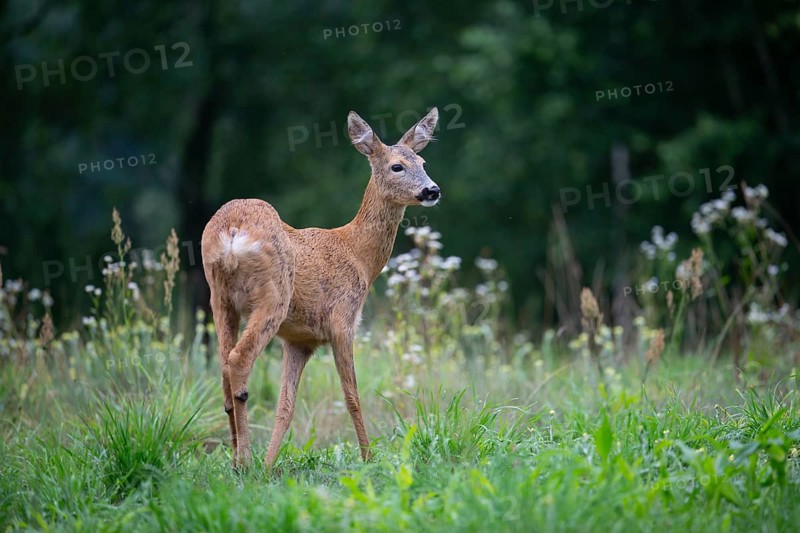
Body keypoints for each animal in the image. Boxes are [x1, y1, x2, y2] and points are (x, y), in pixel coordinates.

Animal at [201, 108, 441, 468]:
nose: (432, 190)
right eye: (397, 166)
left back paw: (236, 459)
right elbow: (352, 396)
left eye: (423, 162)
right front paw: (368, 459)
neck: (358, 254)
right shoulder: (343, 320)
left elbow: (285, 407)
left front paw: (269, 466)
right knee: (239, 359)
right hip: (273, 296)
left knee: (223, 370)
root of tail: (232, 232)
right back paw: (243, 461)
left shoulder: (299, 340)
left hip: (220, 298)